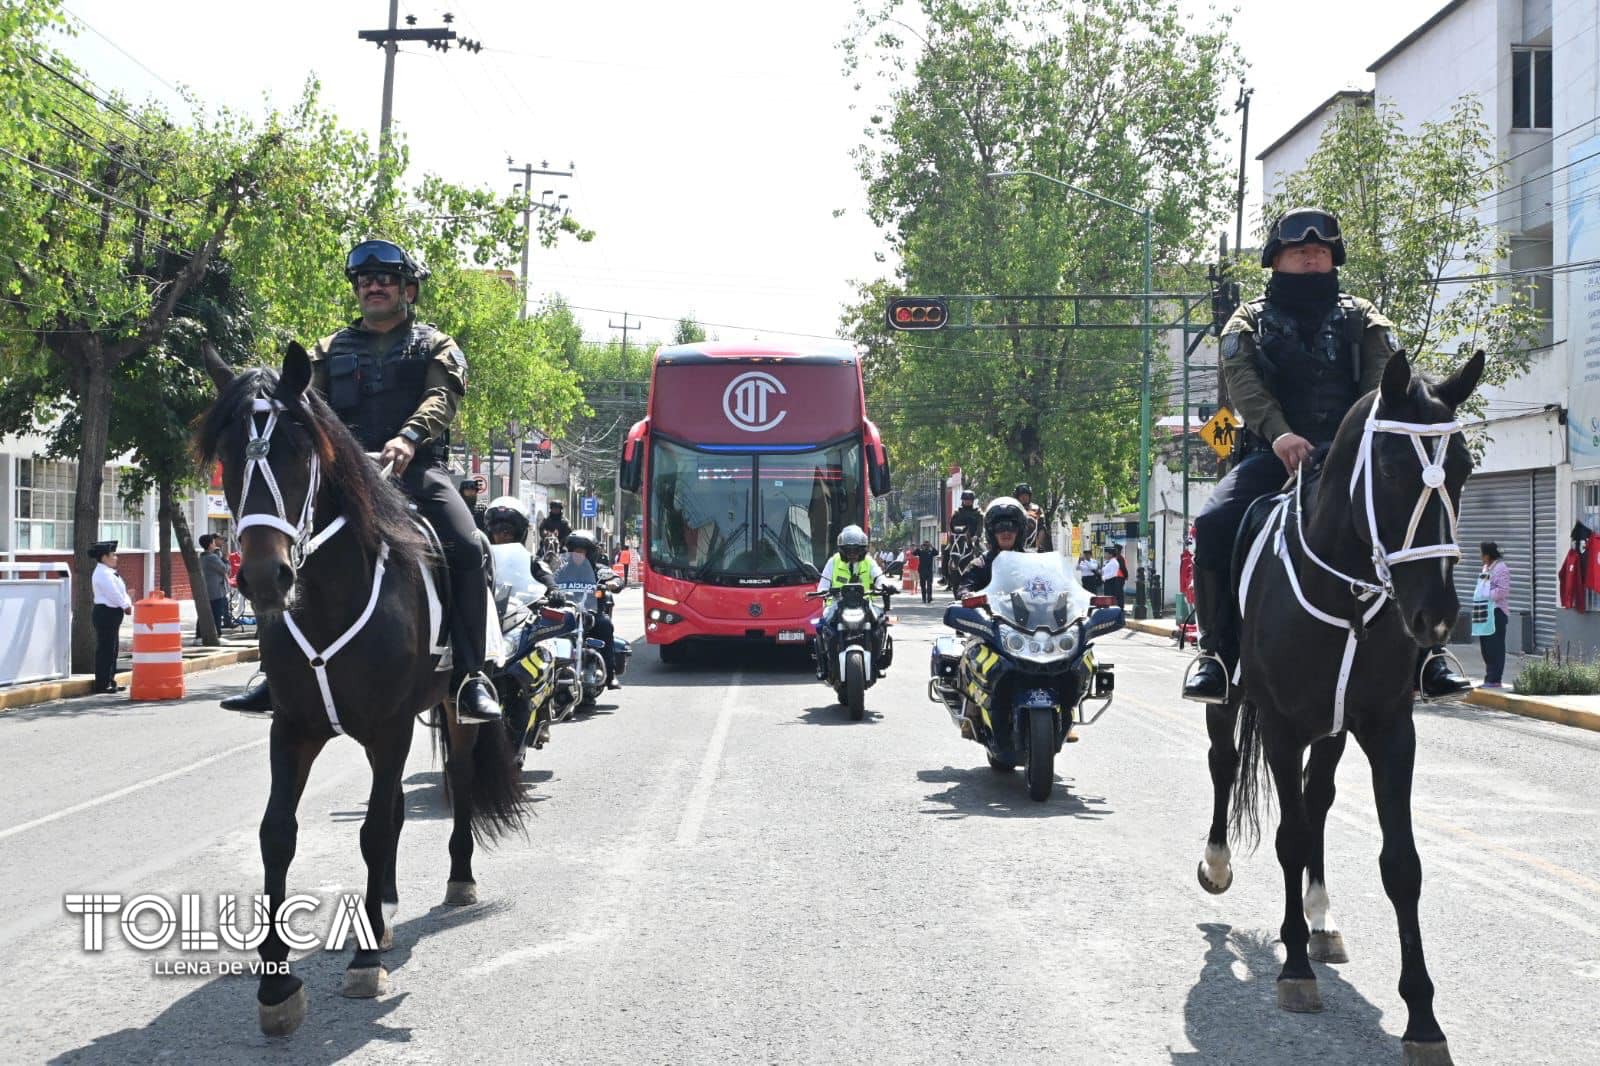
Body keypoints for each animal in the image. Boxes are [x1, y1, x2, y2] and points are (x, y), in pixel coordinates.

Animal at [197, 344, 528, 1030]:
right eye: (231, 454)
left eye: (299, 452)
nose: (264, 577)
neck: (330, 593)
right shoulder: (293, 729)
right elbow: (278, 835)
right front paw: (277, 987)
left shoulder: (389, 726)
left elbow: (373, 831)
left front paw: (365, 962)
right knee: (397, 805)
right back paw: (390, 906)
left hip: (446, 713)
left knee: (456, 783)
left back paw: (456, 881)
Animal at [1196, 350, 1478, 1062]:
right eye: (1392, 468)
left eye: (1463, 467)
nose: (1436, 617)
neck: (1346, 591)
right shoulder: (1279, 723)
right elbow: (1289, 837)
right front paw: (1294, 969)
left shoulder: (1387, 728)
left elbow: (1401, 864)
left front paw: (1423, 1018)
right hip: (1234, 702)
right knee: (1223, 762)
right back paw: (1218, 865)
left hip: (1332, 728)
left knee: (1317, 797)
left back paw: (1321, 918)